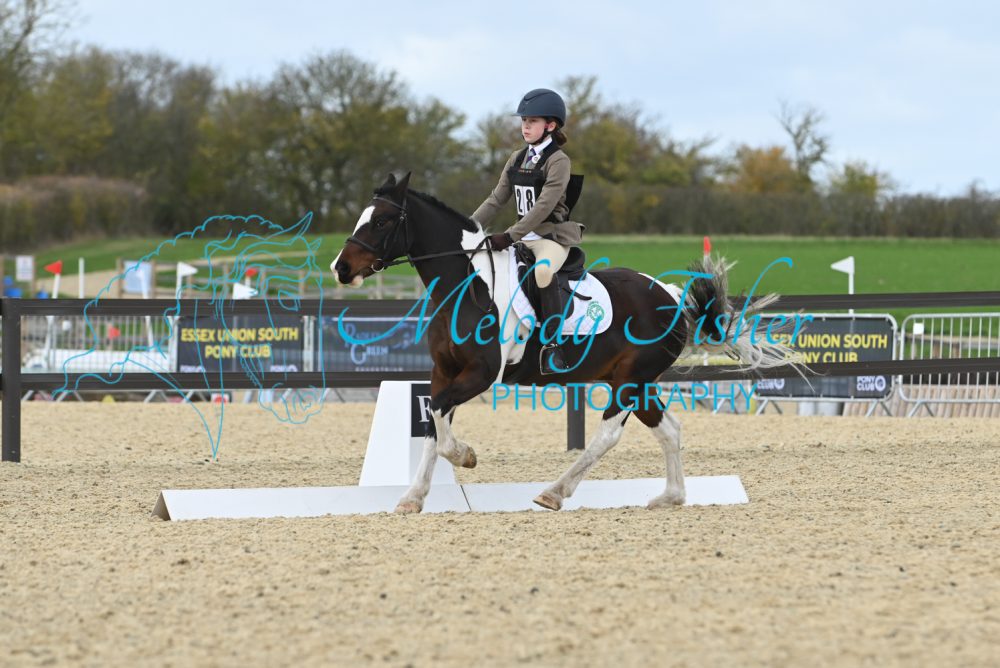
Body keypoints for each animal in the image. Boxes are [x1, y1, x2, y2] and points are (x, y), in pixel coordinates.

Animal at [332, 172, 796, 513]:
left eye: (381, 221)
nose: (341, 268)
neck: (467, 283)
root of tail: (670, 296)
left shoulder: (482, 374)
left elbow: (442, 423)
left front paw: (465, 456)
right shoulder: (443, 371)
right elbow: (432, 422)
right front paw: (412, 498)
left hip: (629, 380)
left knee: (608, 433)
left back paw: (554, 492)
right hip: (639, 381)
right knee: (669, 430)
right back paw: (671, 497)